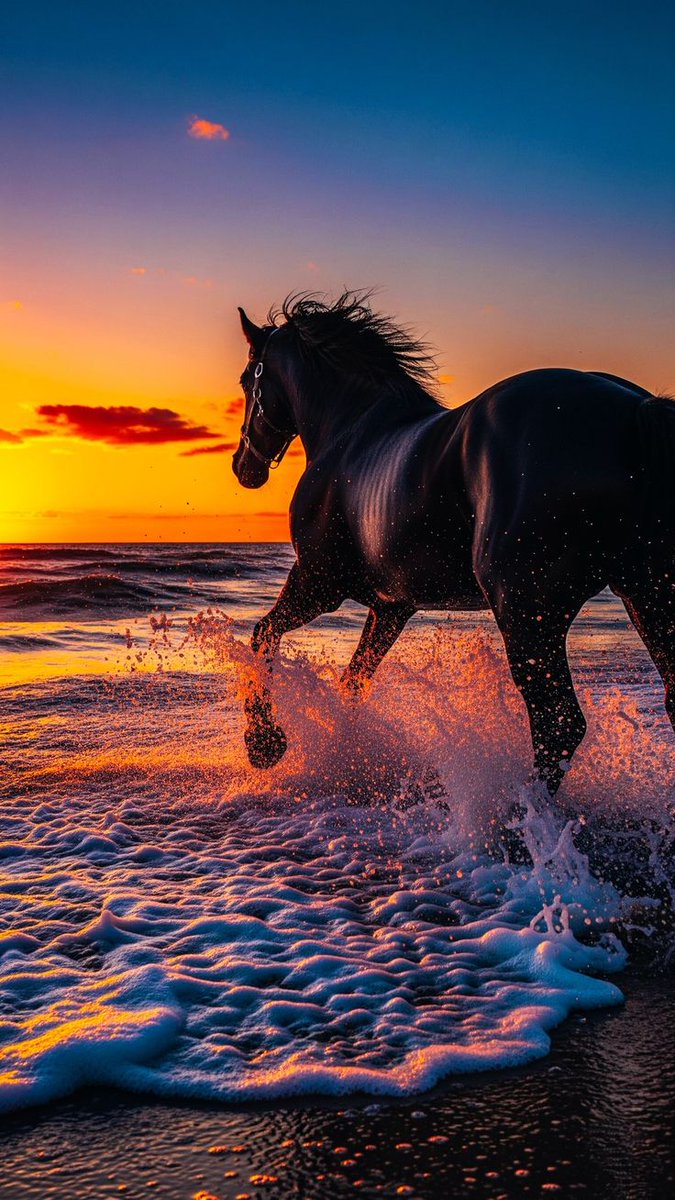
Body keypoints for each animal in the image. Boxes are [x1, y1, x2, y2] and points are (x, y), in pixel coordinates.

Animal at [232, 292, 675, 797]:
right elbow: (354, 681)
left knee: (558, 724)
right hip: (646, 597)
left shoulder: (317, 584)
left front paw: (265, 744)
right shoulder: (390, 608)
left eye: (247, 380)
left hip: (526, 612)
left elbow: (263, 636)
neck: (350, 430)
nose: (243, 466)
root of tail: (635, 411)